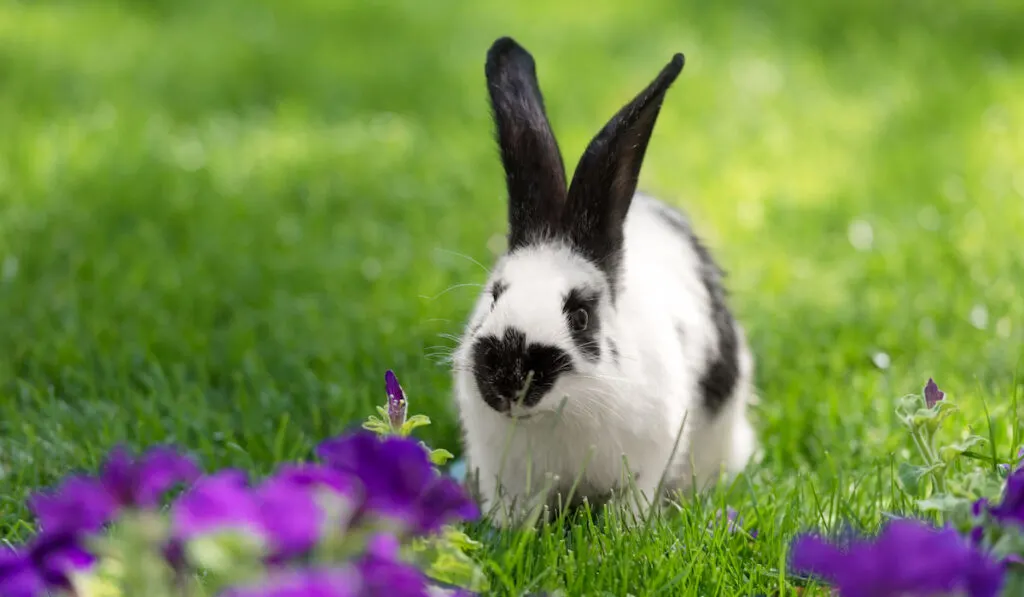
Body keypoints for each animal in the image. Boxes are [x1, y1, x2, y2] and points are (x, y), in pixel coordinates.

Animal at [452, 35, 757, 524]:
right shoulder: (506, 478)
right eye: (495, 296)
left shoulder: (646, 465)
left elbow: (630, 509)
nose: (509, 377)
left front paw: (620, 535)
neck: (558, 414)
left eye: (580, 315)